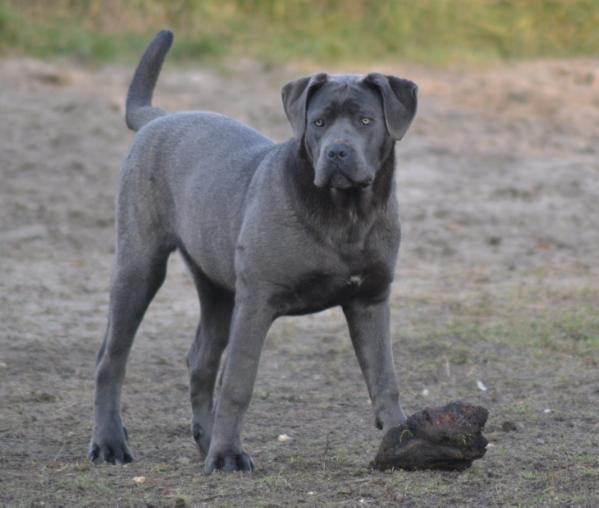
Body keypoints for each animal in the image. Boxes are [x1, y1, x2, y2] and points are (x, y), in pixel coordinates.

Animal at [89, 29, 420, 472]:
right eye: (318, 122)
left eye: (366, 121)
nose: (337, 152)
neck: (346, 214)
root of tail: (157, 117)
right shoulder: (258, 301)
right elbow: (238, 382)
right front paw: (228, 455)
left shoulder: (370, 299)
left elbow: (385, 377)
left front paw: (404, 441)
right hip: (139, 266)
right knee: (111, 358)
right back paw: (110, 444)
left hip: (217, 289)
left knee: (200, 361)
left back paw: (205, 438)